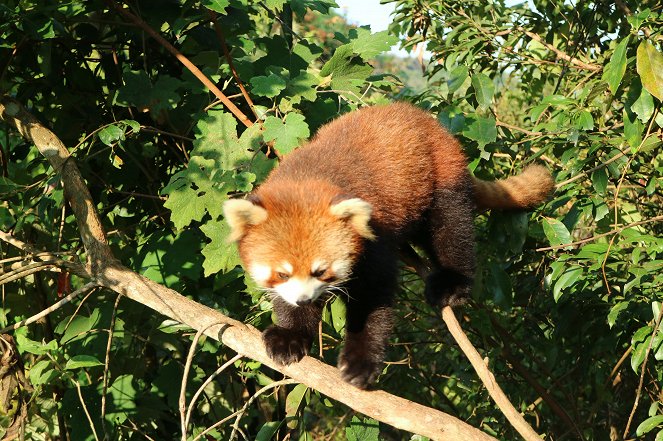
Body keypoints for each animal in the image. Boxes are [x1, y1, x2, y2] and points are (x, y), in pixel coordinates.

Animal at [224, 101, 556, 386]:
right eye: (282, 273)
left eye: (321, 271)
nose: (305, 300)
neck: (306, 178)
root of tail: (424, 118)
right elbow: (285, 303)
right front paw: (290, 335)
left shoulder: (374, 236)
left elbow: (374, 297)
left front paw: (361, 361)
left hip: (440, 175)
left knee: (451, 228)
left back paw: (452, 282)